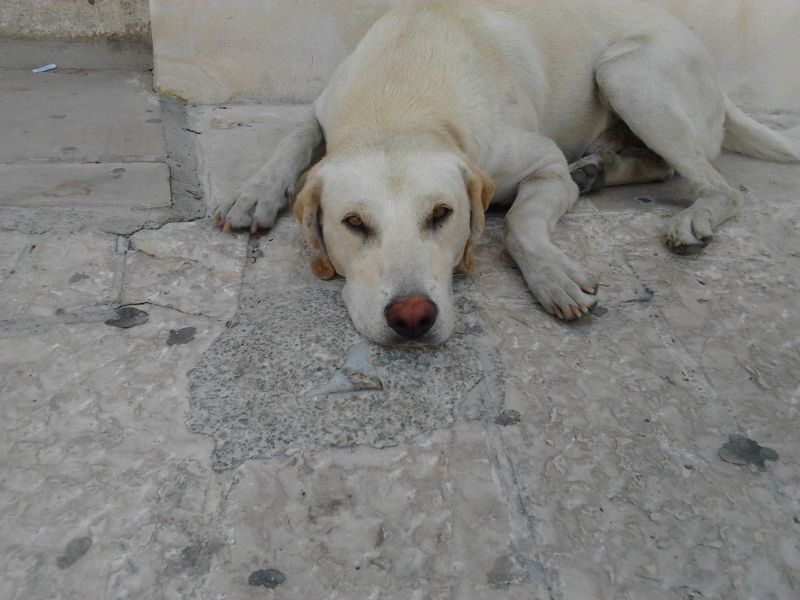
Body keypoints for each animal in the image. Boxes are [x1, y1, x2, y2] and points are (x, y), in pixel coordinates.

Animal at [209, 0, 796, 344]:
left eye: (442, 215)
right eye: (353, 224)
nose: (412, 318)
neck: (400, 100)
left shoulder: (546, 165)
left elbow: (517, 224)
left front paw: (552, 274)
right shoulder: (321, 109)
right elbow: (292, 137)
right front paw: (256, 192)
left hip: (627, 72)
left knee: (717, 184)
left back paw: (689, 215)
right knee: (658, 166)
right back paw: (600, 169)